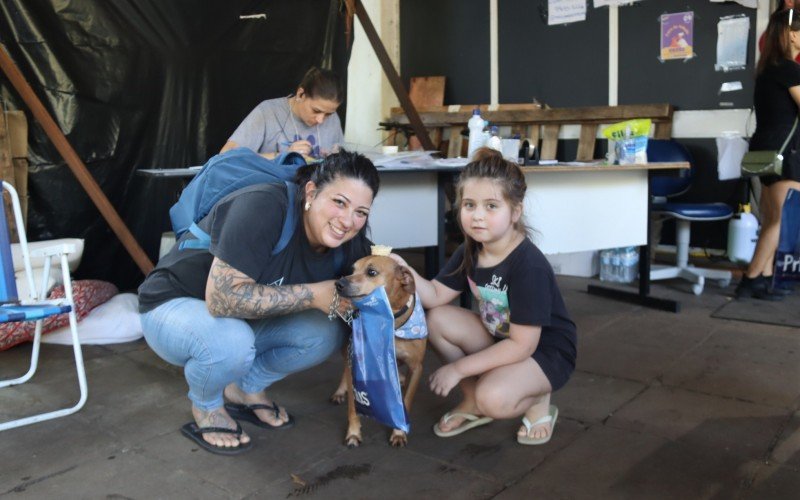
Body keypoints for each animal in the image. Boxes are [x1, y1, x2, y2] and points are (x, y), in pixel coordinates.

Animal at [332, 256, 428, 448]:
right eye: (352, 270)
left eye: (371, 272)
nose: (338, 283)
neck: (389, 320)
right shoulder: (356, 362)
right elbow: (353, 407)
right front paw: (353, 433)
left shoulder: (416, 367)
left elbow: (406, 401)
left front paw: (399, 432)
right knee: (345, 369)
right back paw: (340, 391)